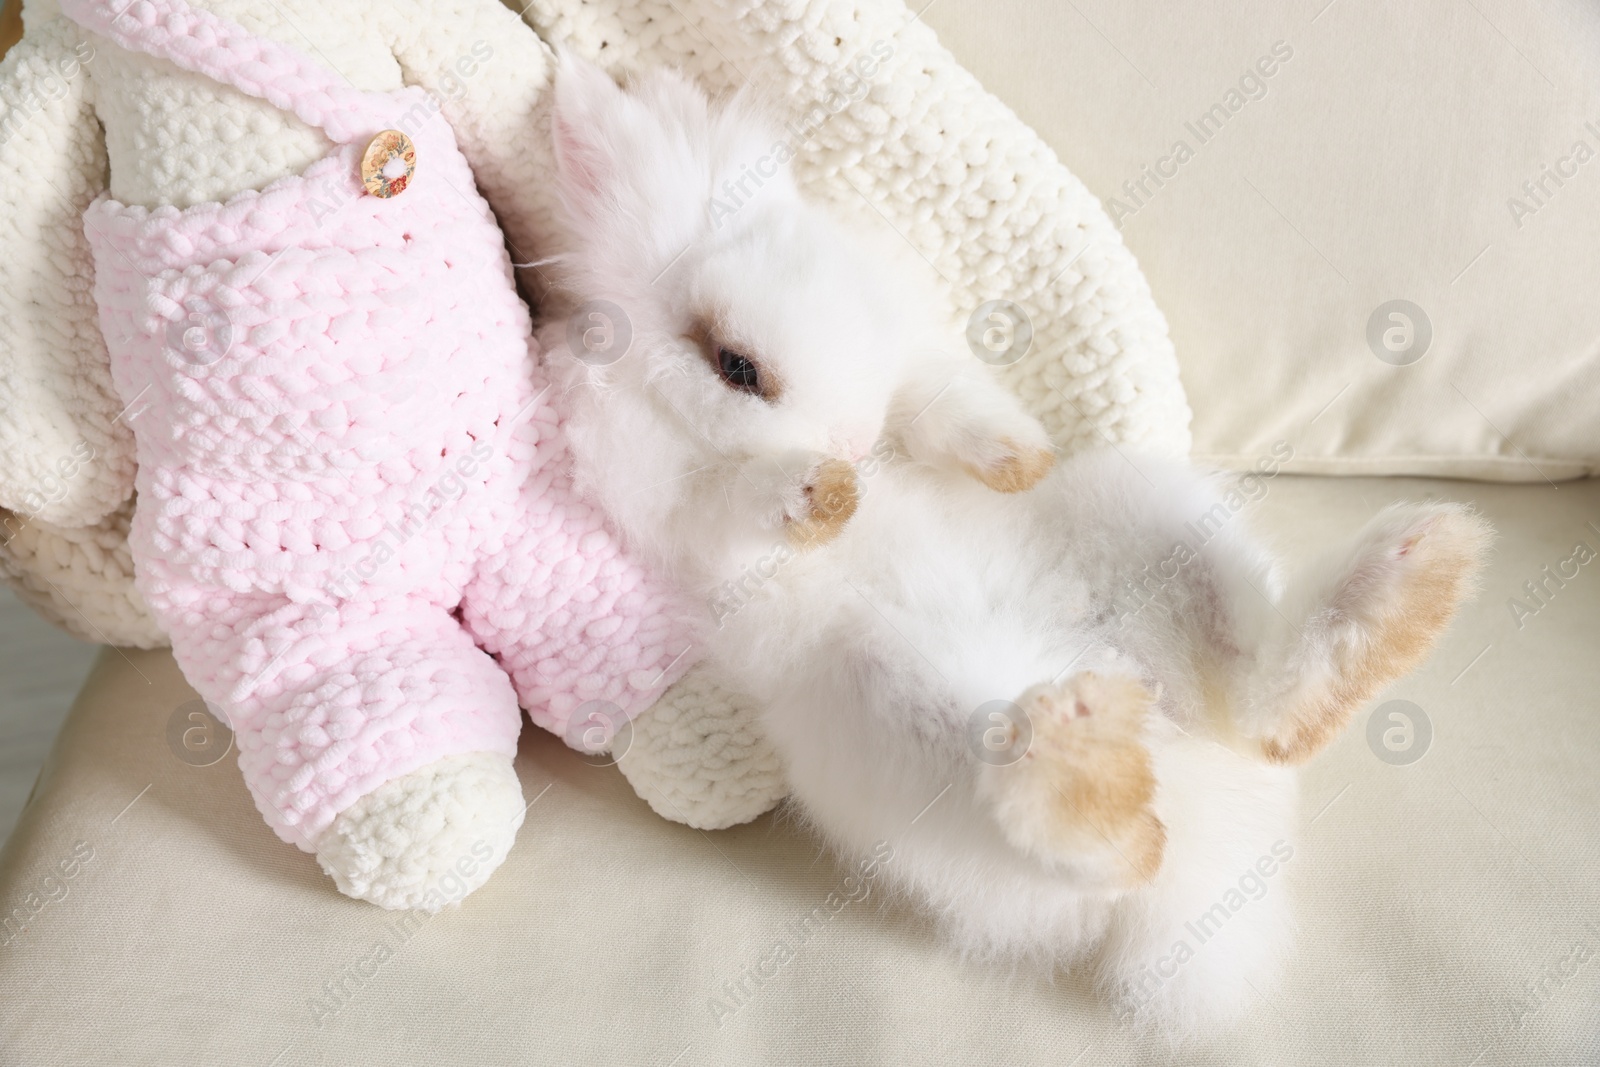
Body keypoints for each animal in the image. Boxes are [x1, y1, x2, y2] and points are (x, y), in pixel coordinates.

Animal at [540, 58, 1497, 1036]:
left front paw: (1013, 461)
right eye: (737, 366)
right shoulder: (672, 502)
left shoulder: (916, 366)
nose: (853, 442)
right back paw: (1084, 751)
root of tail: (1177, 761)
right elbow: (735, 502)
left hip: (1150, 522)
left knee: (1267, 706)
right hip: (906, 711)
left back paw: (1410, 581)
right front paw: (824, 495)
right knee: (1118, 847)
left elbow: (943, 402)